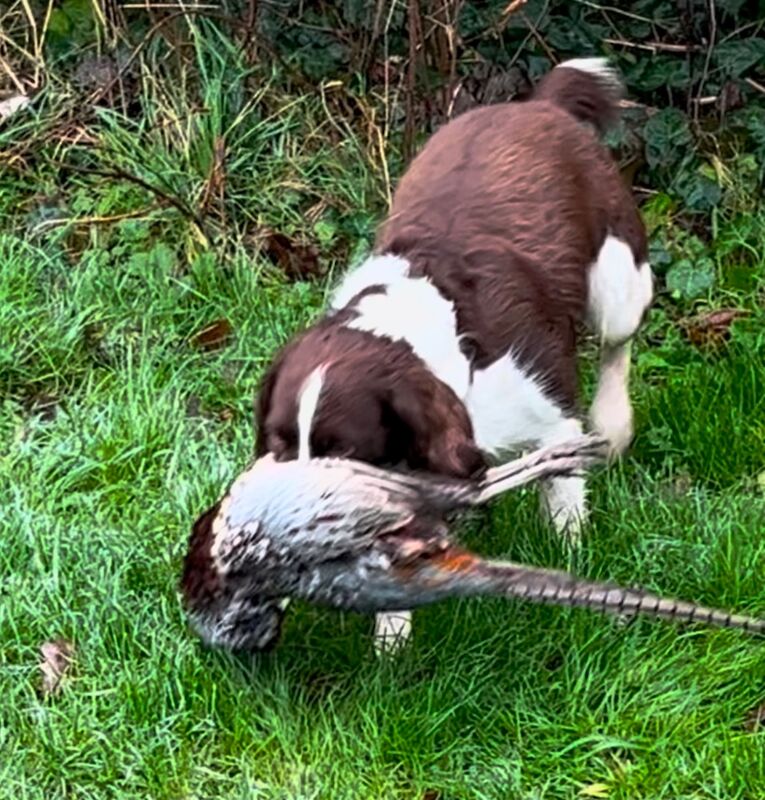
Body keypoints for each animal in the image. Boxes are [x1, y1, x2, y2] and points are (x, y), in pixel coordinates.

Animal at [254, 61, 652, 648]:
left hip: (617, 276)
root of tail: (539, 104)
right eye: (280, 448)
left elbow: (562, 498)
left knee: (616, 343)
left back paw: (613, 422)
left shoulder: (550, 411)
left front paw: (573, 564)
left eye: (343, 452)